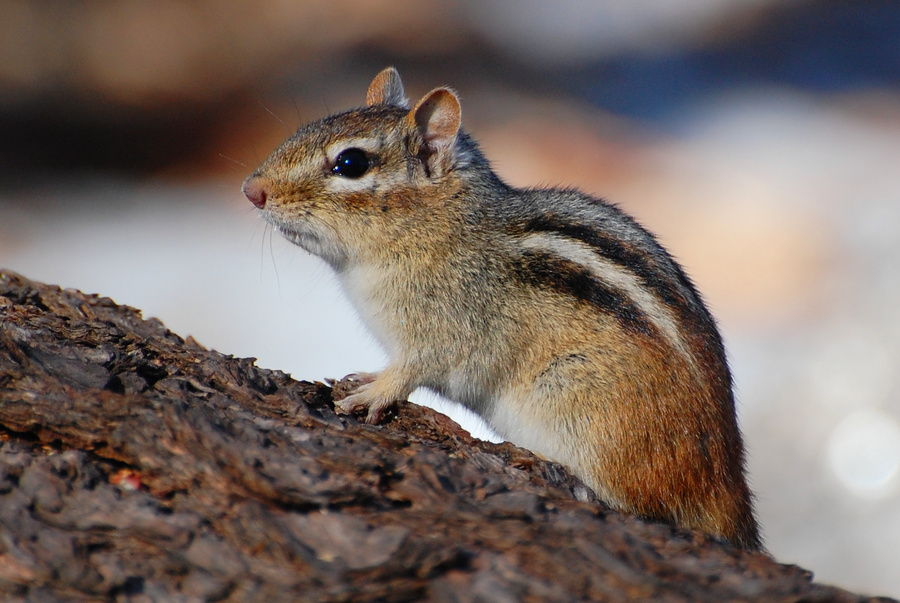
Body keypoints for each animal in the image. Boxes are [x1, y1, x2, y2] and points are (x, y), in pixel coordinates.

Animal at [242, 67, 761, 551]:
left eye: (350, 163)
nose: (251, 190)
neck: (435, 225)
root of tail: (728, 486)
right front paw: (366, 377)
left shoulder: (447, 327)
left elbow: (412, 371)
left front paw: (373, 393)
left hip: (581, 402)